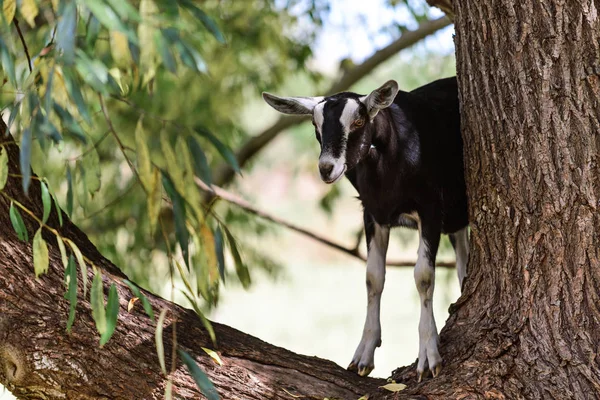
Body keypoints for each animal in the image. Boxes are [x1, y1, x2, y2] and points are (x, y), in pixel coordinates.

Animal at [262, 77, 468, 382]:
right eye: (315, 124)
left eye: (358, 121)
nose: (327, 168)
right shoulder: (372, 213)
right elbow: (373, 277)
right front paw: (363, 355)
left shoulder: (431, 209)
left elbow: (423, 276)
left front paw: (428, 355)